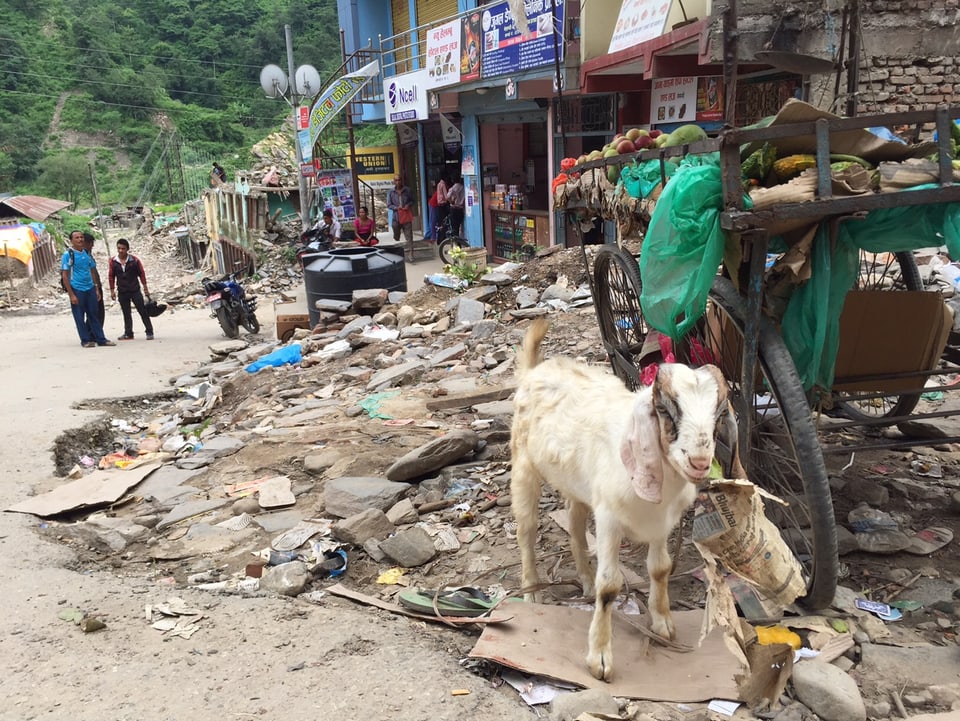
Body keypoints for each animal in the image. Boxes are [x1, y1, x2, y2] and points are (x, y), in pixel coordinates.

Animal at [510, 320, 744, 680]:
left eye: (720, 414)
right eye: (665, 410)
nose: (700, 462)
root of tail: (535, 370)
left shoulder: (662, 523)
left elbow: (660, 569)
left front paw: (663, 624)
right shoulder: (609, 520)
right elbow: (610, 586)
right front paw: (600, 659)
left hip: (577, 485)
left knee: (574, 524)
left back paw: (584, 580)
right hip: (524, 467)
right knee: (527, 531)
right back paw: (532, 592)